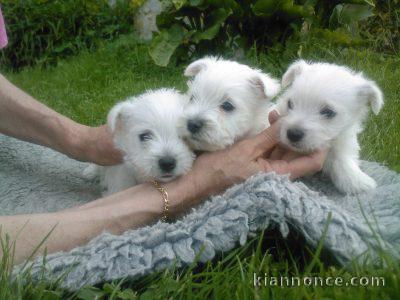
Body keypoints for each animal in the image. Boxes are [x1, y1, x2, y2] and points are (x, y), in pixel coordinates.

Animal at [276, 59, 384, 193]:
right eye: (290, 103)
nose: (293, 134)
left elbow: (342, 159)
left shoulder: (342, 140)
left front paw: (357, 181)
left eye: (328, 112)